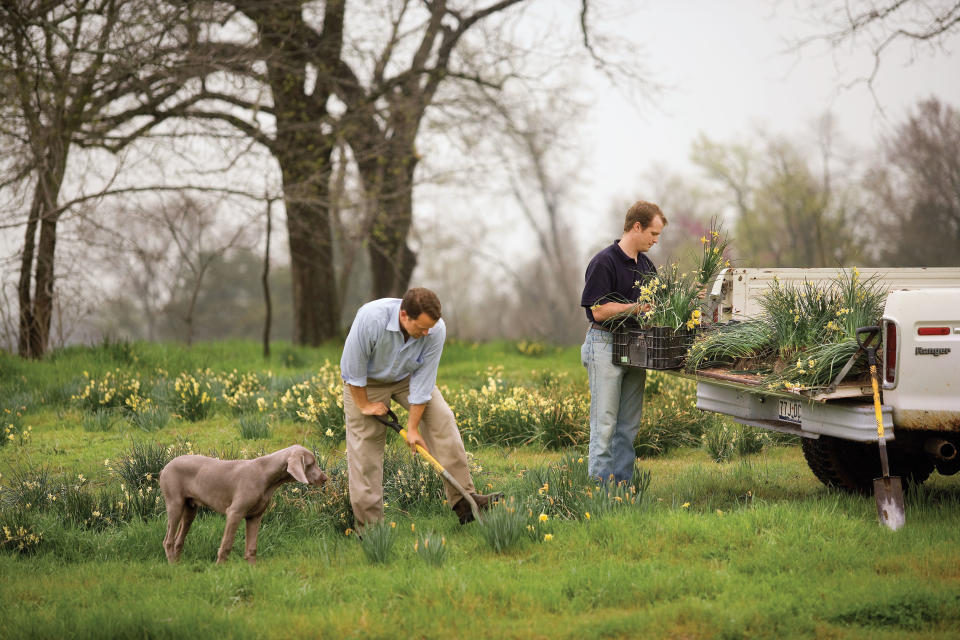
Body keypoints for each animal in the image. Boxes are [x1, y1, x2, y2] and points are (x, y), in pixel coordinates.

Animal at [159, 444, 328, 564]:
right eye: (311, 464)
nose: (325, 478)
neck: (265, 474)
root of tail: (165, 466)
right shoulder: (234, 513)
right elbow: (226, 545)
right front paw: (219, 569)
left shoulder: (255, 516)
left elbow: (252, 549)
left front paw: (252, 570)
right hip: (175, 504)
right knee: (168, 540)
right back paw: (172, 566)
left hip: (190, 509)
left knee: (178, 540)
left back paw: (178, 564)